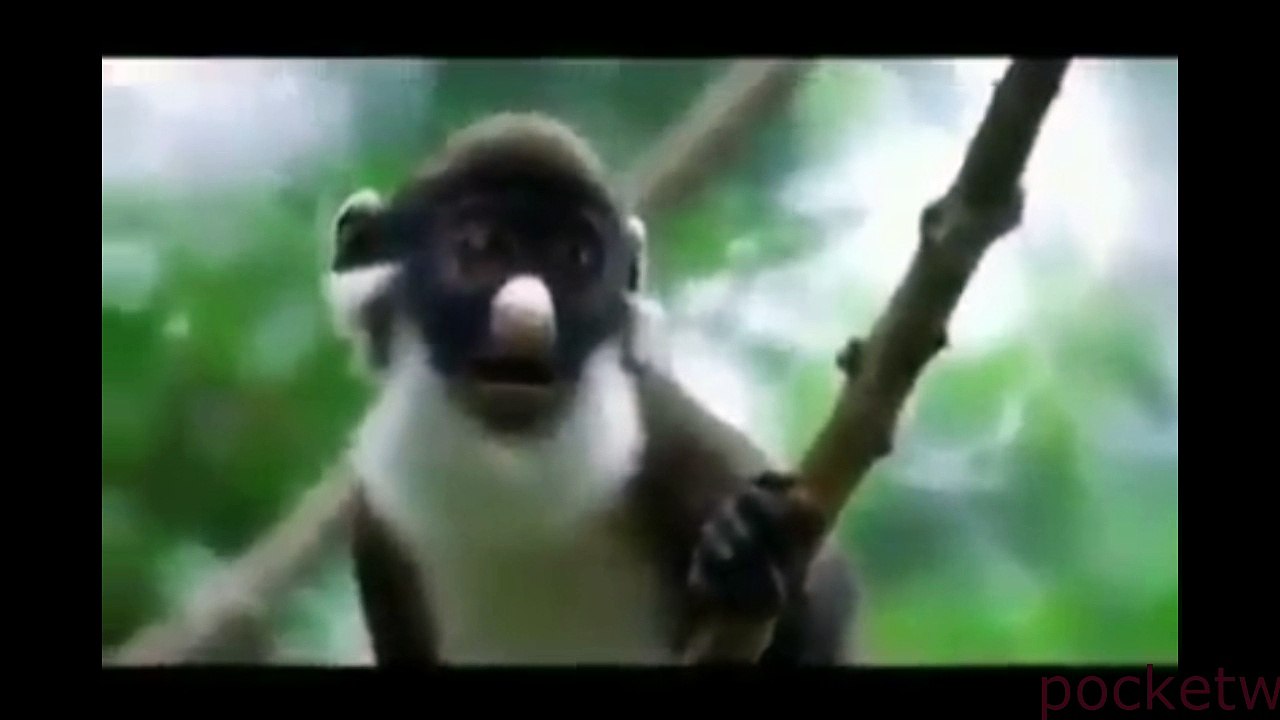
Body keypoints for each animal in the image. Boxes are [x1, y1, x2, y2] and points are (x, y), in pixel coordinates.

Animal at [324, 112, 858, 665]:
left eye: (577, 257)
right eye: (481, 247)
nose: (530, 316)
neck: (506, 467)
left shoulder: (661, 425)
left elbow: (827, 595)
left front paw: (746, 546)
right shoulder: (375, 529)